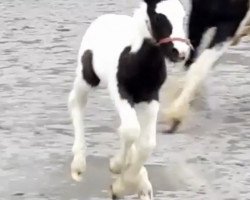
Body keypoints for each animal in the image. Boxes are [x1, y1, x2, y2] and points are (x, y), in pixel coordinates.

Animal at [67, 0, 188, 199]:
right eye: (158, 17)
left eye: (183, 16)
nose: (180, 52)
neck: (137, 59)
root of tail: (104, 18)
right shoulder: (120, 91)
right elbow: (131, 131)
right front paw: (116, 168)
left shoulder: (151, 97)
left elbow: (146, 142)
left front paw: (126, 185)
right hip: (87, 77)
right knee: (76, 101)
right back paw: (78, 165)